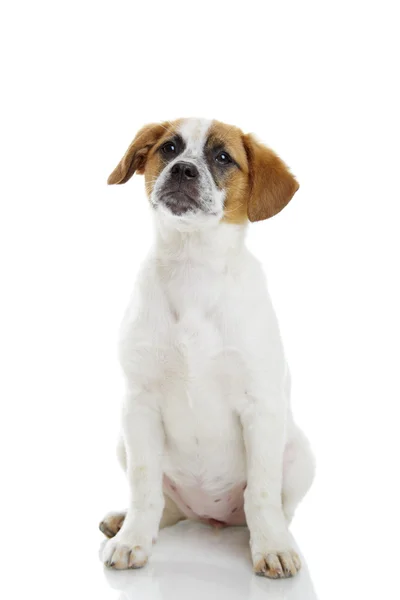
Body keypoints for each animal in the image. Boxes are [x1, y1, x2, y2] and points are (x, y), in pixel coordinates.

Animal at [98, 117, 314, 576]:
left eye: (223, 157)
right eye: (169, 147)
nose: (182, 169)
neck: (192, 267)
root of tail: (208, 516)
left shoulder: (260, 407)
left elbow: (261, 493)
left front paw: (272, 548)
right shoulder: (139, 405)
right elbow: (144, 486)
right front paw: (133, 540)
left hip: (301, 454)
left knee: (275, 508)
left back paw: (275, 536)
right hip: (124, 440)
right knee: (165, 504)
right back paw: (126, 522)